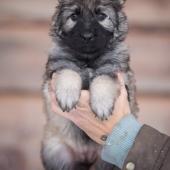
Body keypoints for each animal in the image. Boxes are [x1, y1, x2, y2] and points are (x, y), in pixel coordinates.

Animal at [41, 0, 138, 169]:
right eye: (73, 16)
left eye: (101, 16)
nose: (87, 36)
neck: (88, 61)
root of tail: (86, 155)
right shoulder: (53, 74)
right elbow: (68, 71)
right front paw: (67, 95)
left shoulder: (119, 75)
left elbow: (103, 79)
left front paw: (102, 105)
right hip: (54, 150)